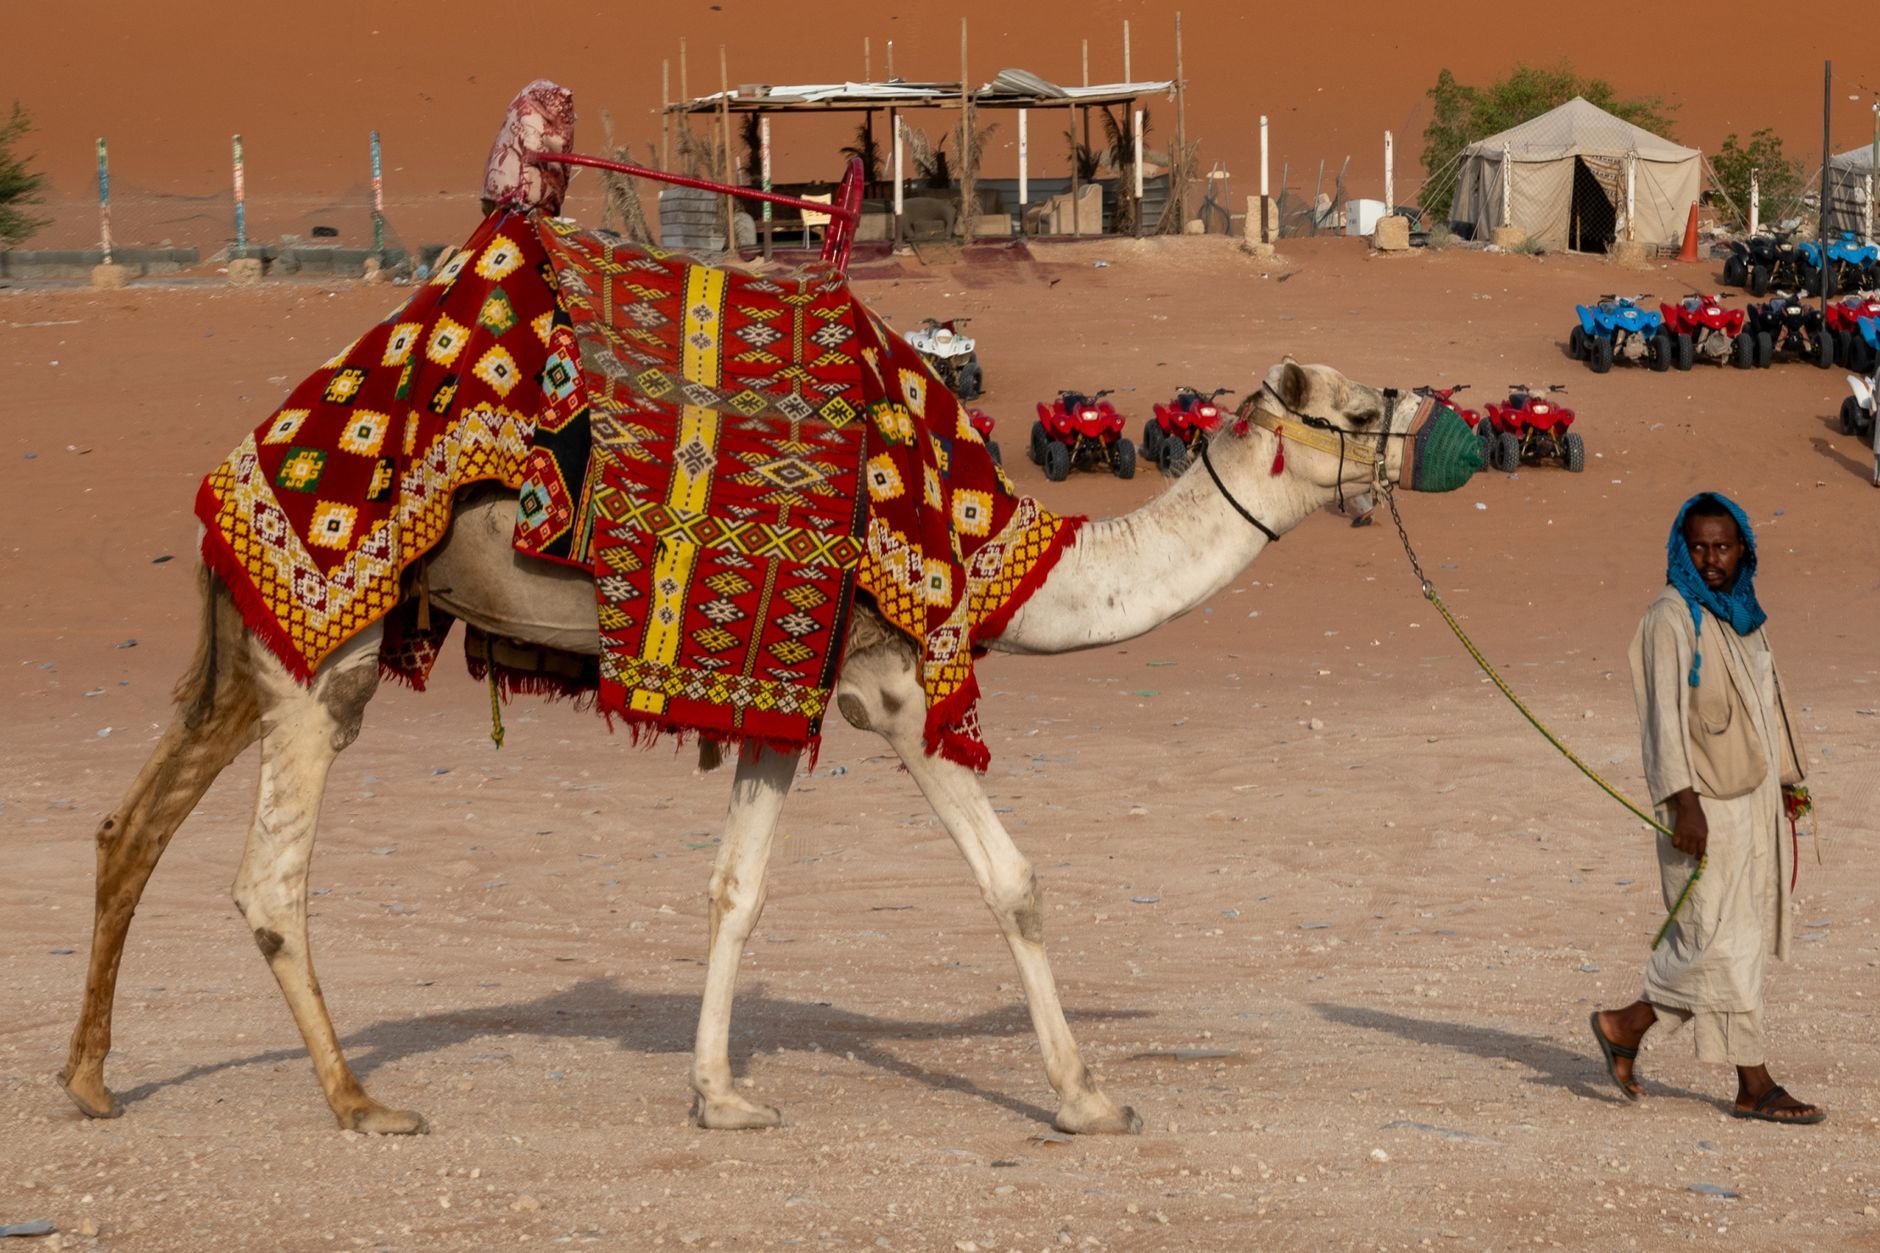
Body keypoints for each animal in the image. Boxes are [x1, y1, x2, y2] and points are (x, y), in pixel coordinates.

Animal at [60, 359, 1436, 1137]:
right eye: (1360, 403)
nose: (1429, 416)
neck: (993, 549)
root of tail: (243, 457)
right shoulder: (893, 680)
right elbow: (1013, 881)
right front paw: (1089, 1096)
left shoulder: (786, 694)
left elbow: (737, 888)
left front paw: (718, 1094)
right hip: (325, 642)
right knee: (267, 874)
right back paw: (359, 1101)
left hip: (247, 639)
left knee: (131, 824)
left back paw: (88, 1079)